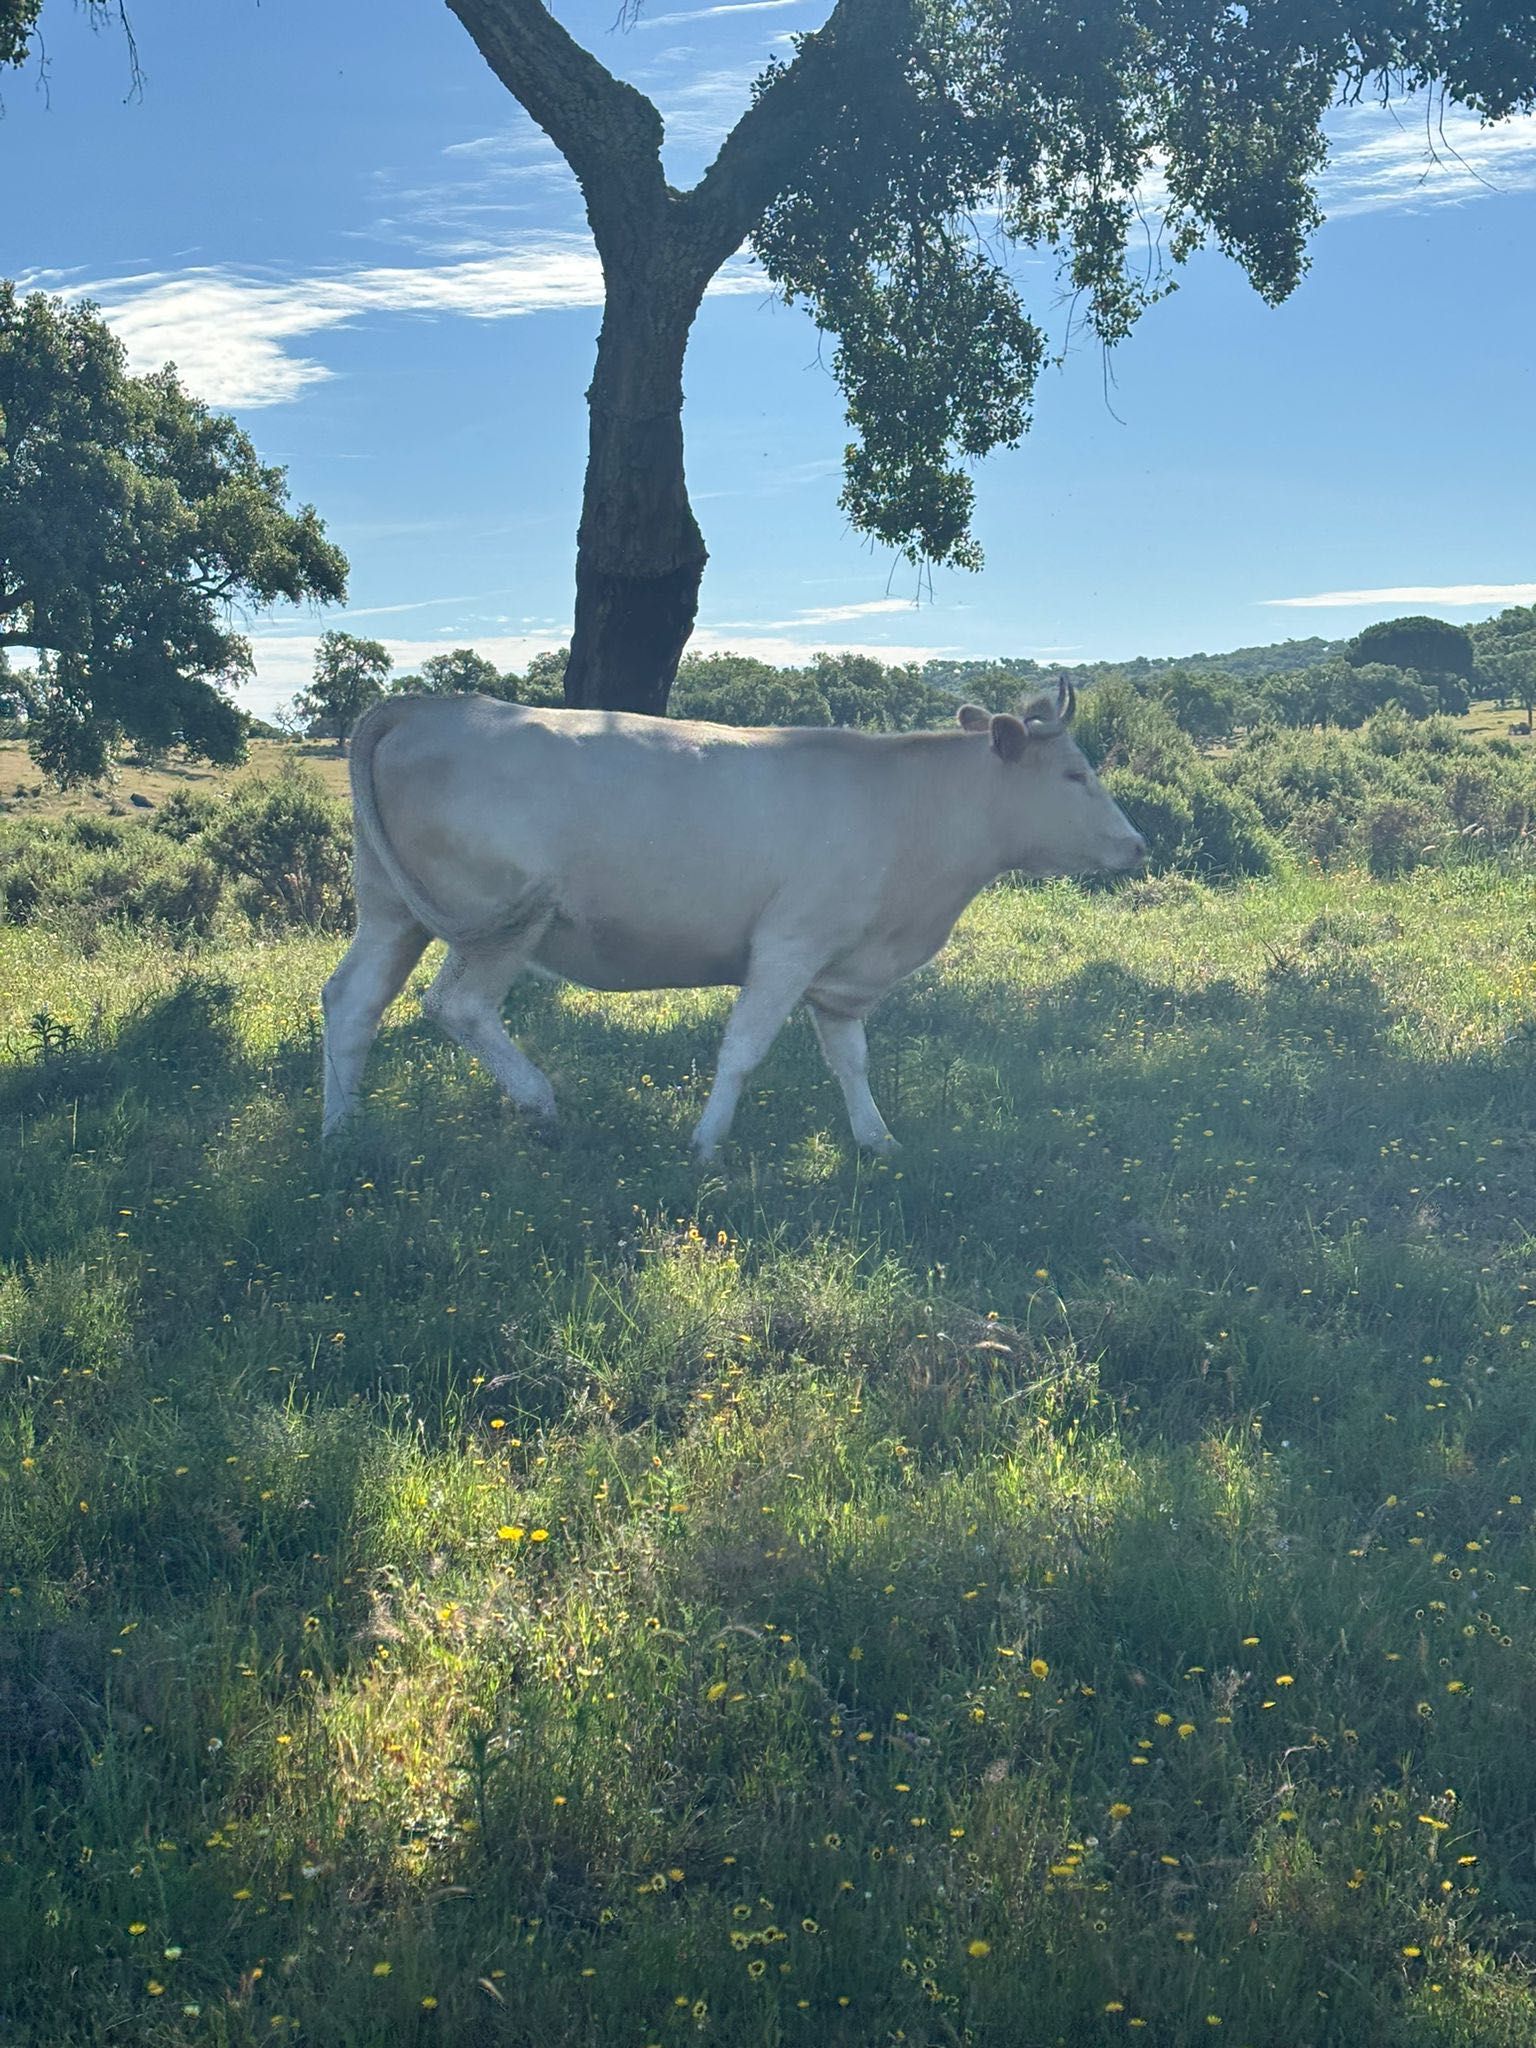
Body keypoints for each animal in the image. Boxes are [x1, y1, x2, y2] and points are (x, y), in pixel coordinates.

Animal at [321, 688, 1146, 1163]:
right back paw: (538, 1102)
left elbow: (851, 1060)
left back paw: (340, 1131)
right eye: (1076, 774)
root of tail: (428, 704)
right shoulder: (788, 946)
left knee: (351, 1001)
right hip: (504, 918)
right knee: (458, 1006)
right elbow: (743, 1050)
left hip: (392, 912)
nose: (1136, 844)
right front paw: (707, 1145)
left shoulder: (840, 967)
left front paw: (877, 1140)